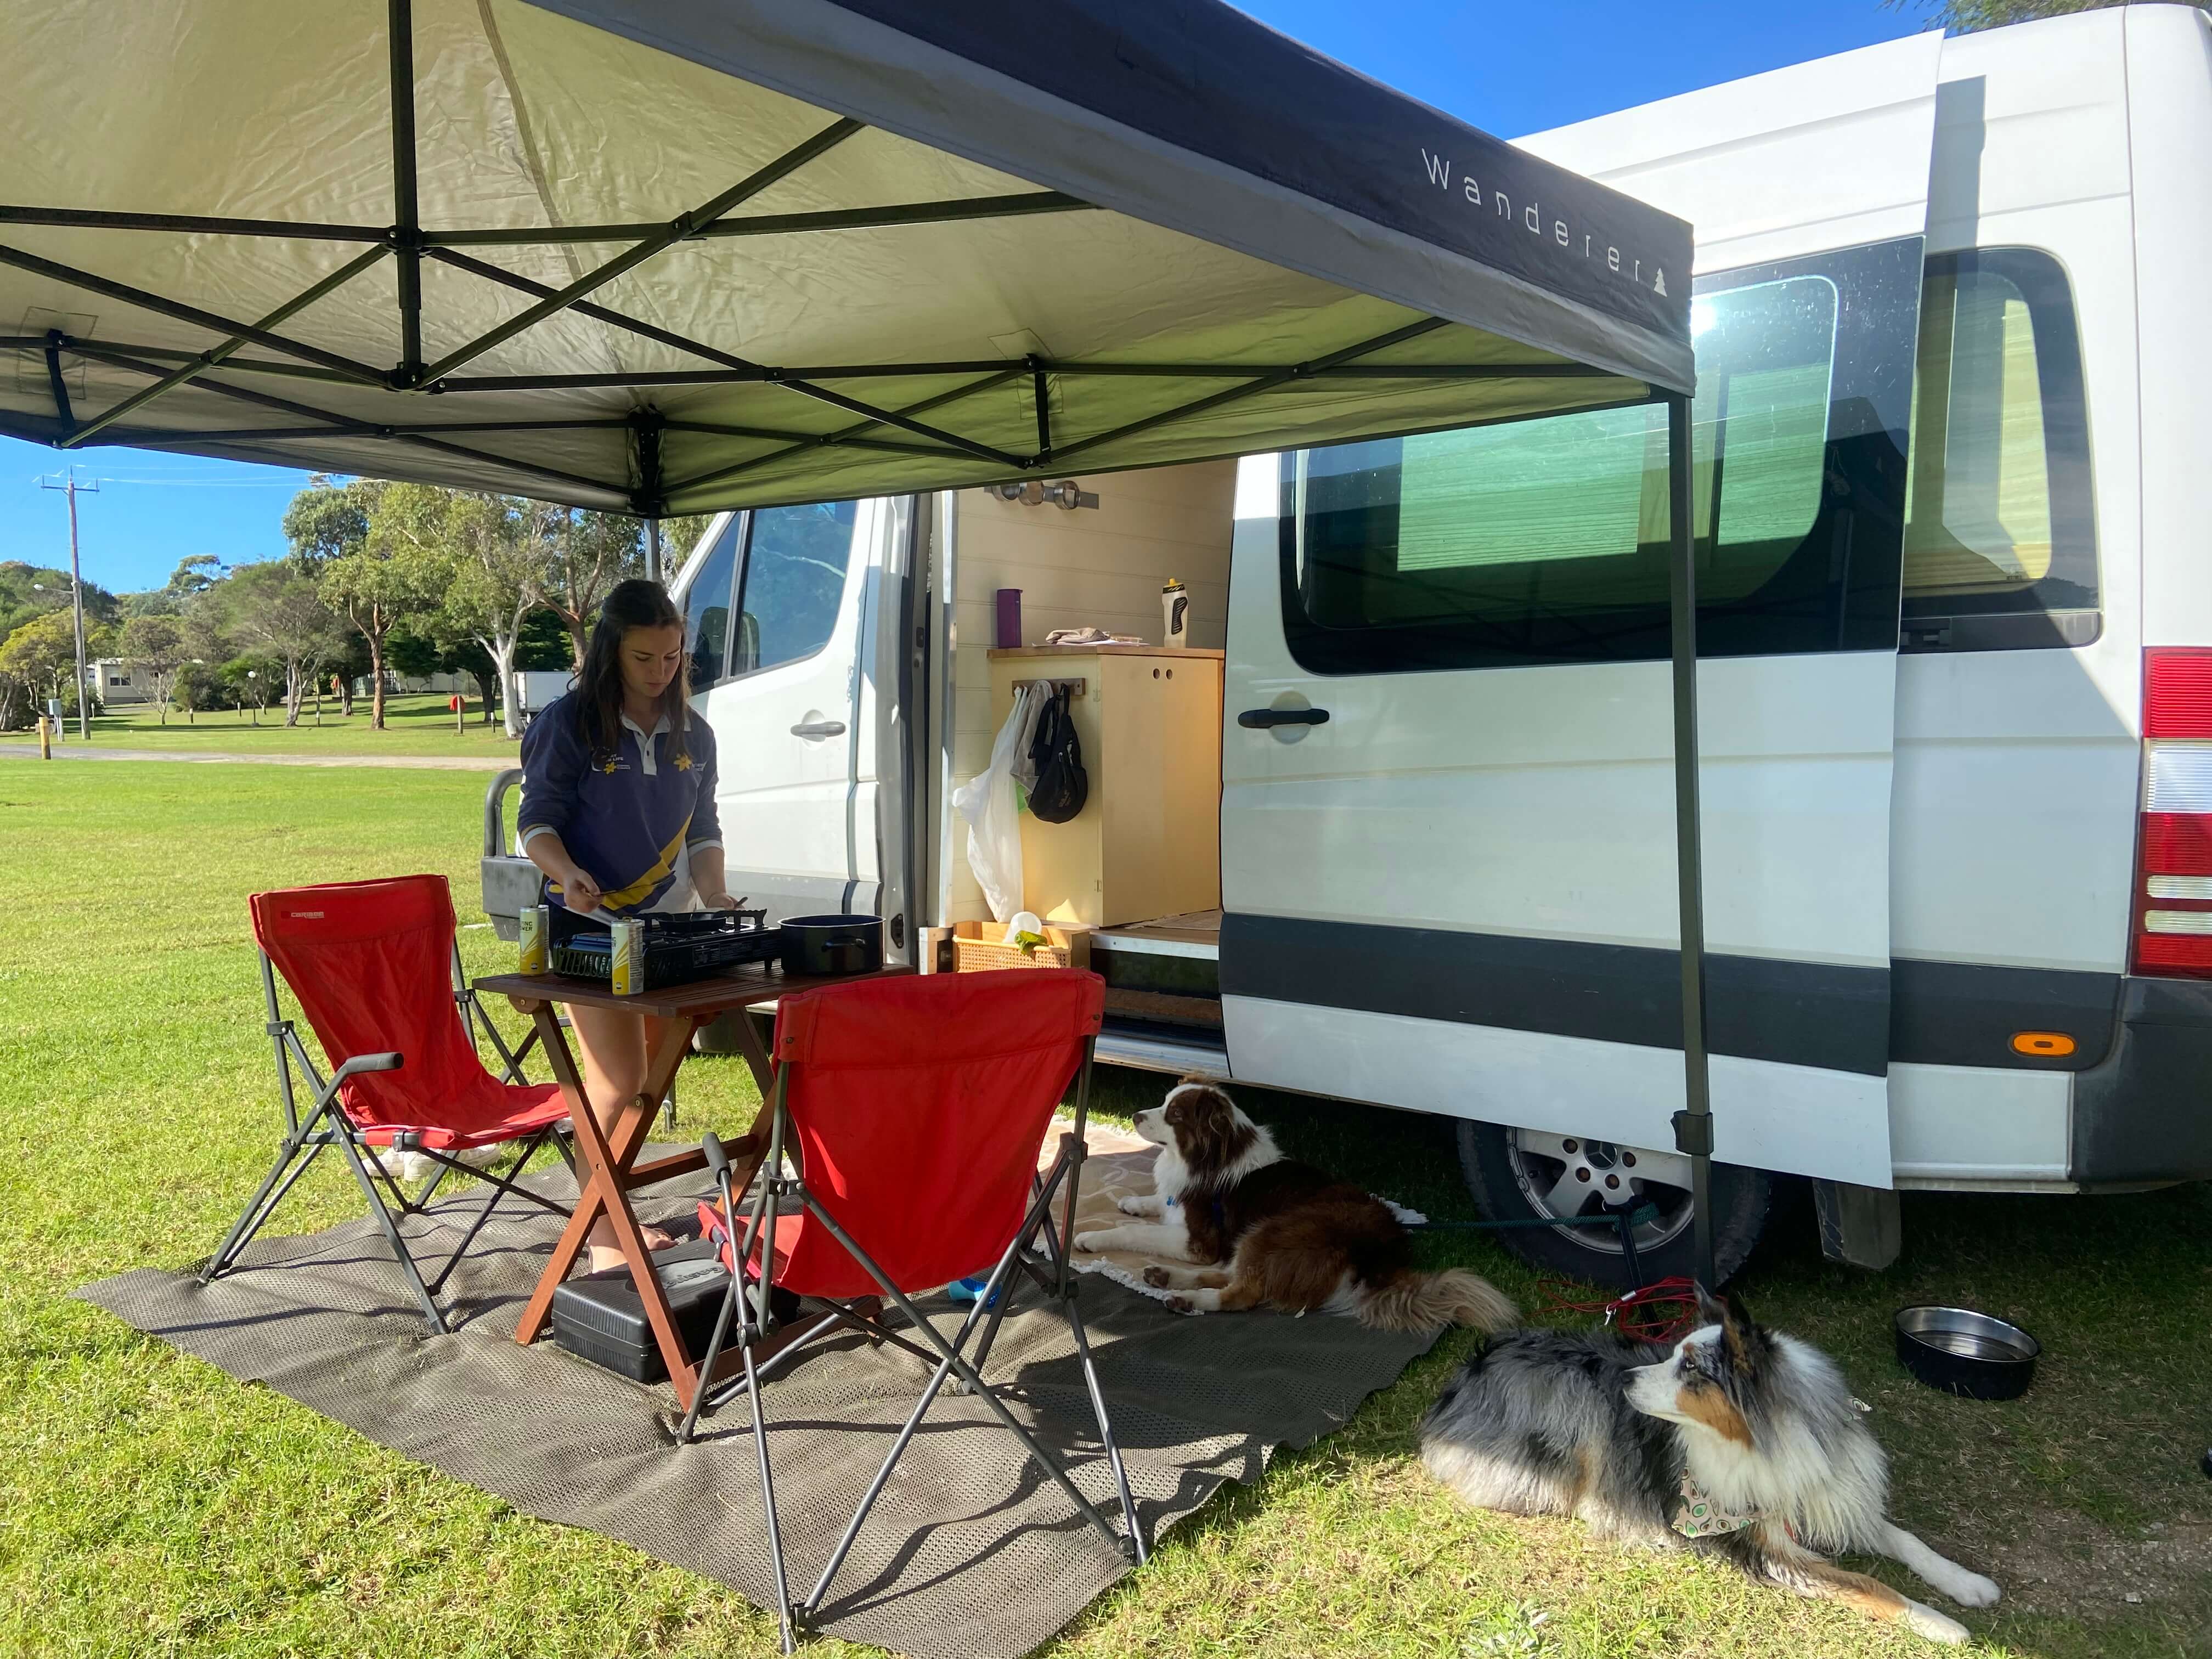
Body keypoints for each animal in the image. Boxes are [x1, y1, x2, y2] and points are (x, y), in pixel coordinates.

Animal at [1075, 1079, 1522, 1336]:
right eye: (1163, 1102)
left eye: (1175, 1114)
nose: (1135, 1115)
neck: (1214, 1155)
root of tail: (1380, 1260)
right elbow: (1156, 1204)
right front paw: (1132, 1201)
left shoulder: (1199, 1241)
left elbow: (1137, 1232)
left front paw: (1092, 1237)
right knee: (1234, 1275)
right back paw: (1165, 1277)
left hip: (1277, 1228)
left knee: (1244, 1292)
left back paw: (1188, 1299)